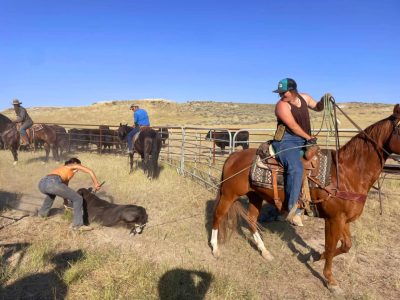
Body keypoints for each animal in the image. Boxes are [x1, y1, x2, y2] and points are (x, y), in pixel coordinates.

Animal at [209, 103, 400, 292]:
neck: (347, 172)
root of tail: (233, 156)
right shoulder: (333, 219)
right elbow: (330, 247)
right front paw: (330, 280)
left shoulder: (343, 219)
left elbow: (346, 245)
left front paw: (314, 257)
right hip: (229, 194)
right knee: (218, 215)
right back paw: (215, 248)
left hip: (255, 195)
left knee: (251, 220)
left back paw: (265, 251)